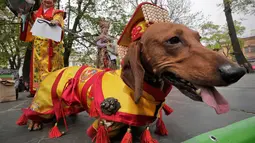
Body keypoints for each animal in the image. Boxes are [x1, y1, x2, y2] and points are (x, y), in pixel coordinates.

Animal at [16, 22, 247, 141]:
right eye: (173, 40)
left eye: (198, 39)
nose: (237, 71)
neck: (145, 90)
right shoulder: (103, 126)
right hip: (44, 102)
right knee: (35, 112)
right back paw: (33, 121)